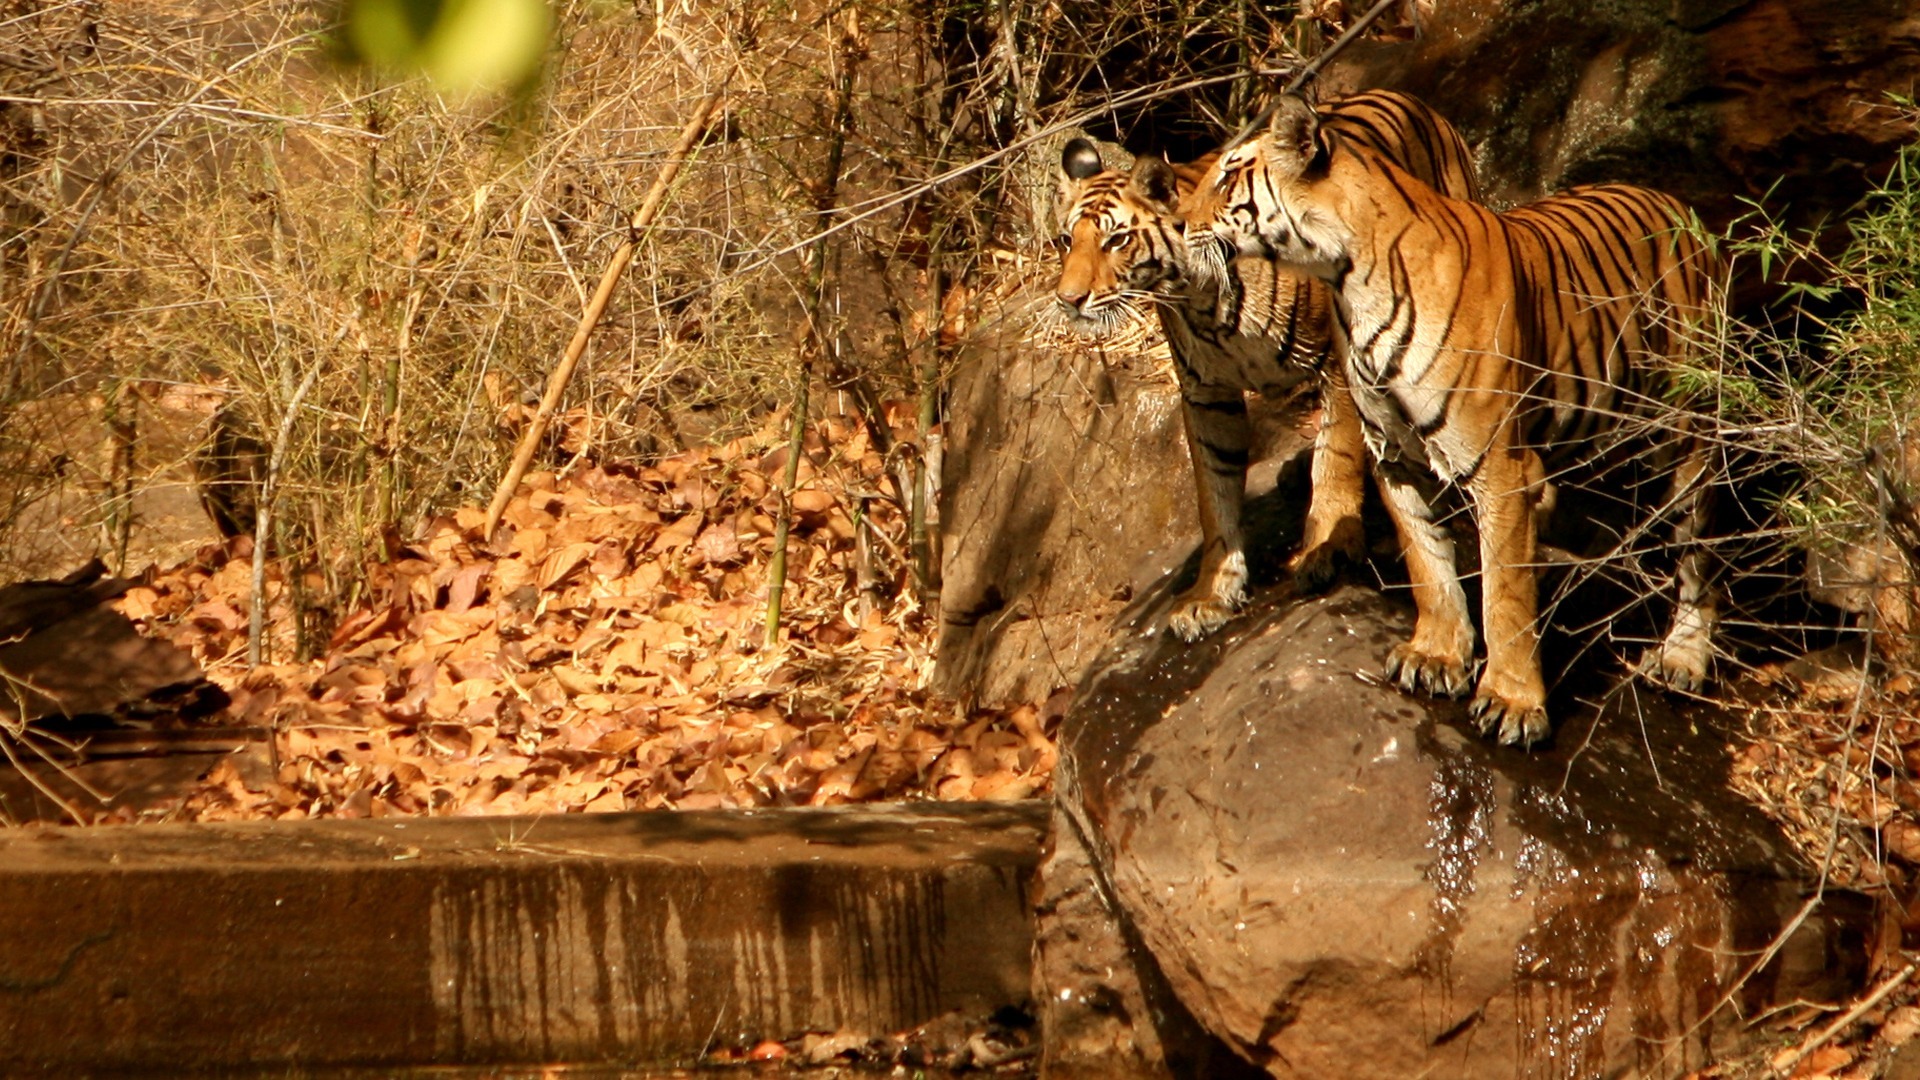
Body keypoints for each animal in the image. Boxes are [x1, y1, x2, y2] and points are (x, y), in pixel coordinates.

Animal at [1047, 90, 1482, 642]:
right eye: (1067, 241)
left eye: (1116, 241)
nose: (1068, 300)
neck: (1198, 299)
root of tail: (1411, 100)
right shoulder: (1207, 394)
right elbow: (1213, 494)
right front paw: (1211, 593)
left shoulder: (1337, 363)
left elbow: (1336, 460)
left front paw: (1326, 548)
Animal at [1191, 92, 1722, 746]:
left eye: (1226, 179)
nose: (1178, 222)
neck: (1347, 282)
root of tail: (1681, 206)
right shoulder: (1393, 454)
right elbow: (1427, 561)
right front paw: (1437, 655)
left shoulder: (1499, 466)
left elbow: (1505, 593)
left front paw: (1513, 702)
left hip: (1689, 437)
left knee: (1698, 555)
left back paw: (1683, 658)